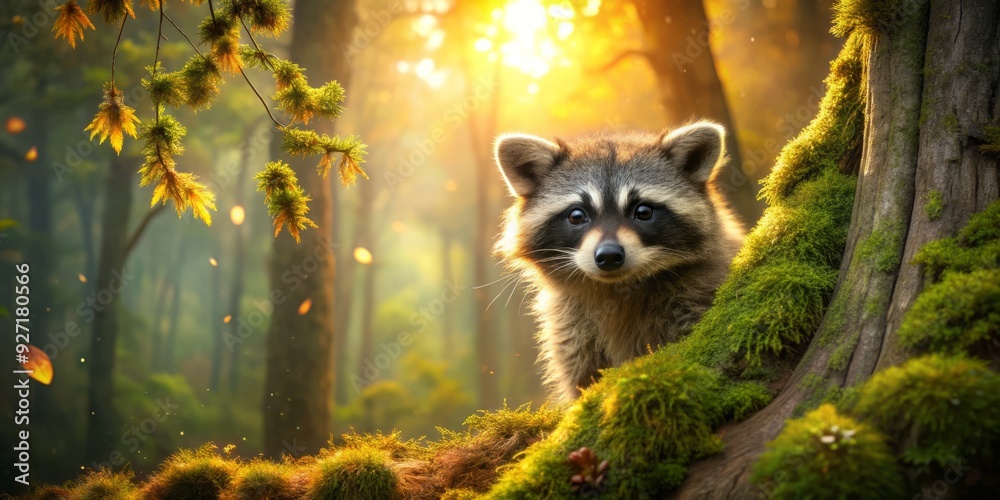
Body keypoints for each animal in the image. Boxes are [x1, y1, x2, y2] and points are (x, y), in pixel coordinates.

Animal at [494, 122, 745, 401]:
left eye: (643, 211)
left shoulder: (696, 295)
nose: (609, 255)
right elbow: (580, 380)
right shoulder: (571, 330)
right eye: (577, 216)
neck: (617, 288)